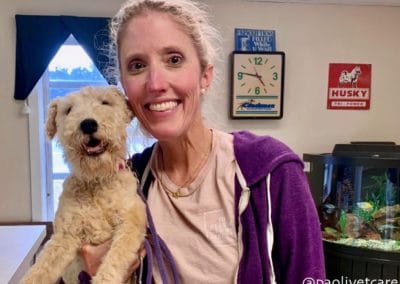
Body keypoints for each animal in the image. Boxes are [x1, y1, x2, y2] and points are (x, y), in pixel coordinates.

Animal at [21, 86, 146, 284]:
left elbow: (115, 258)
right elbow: (41, 268)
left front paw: (103, 279)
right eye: (68, 109)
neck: (97, 180)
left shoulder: (131, 222)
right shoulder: (66, 233)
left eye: (105, 102)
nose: (88, 124)